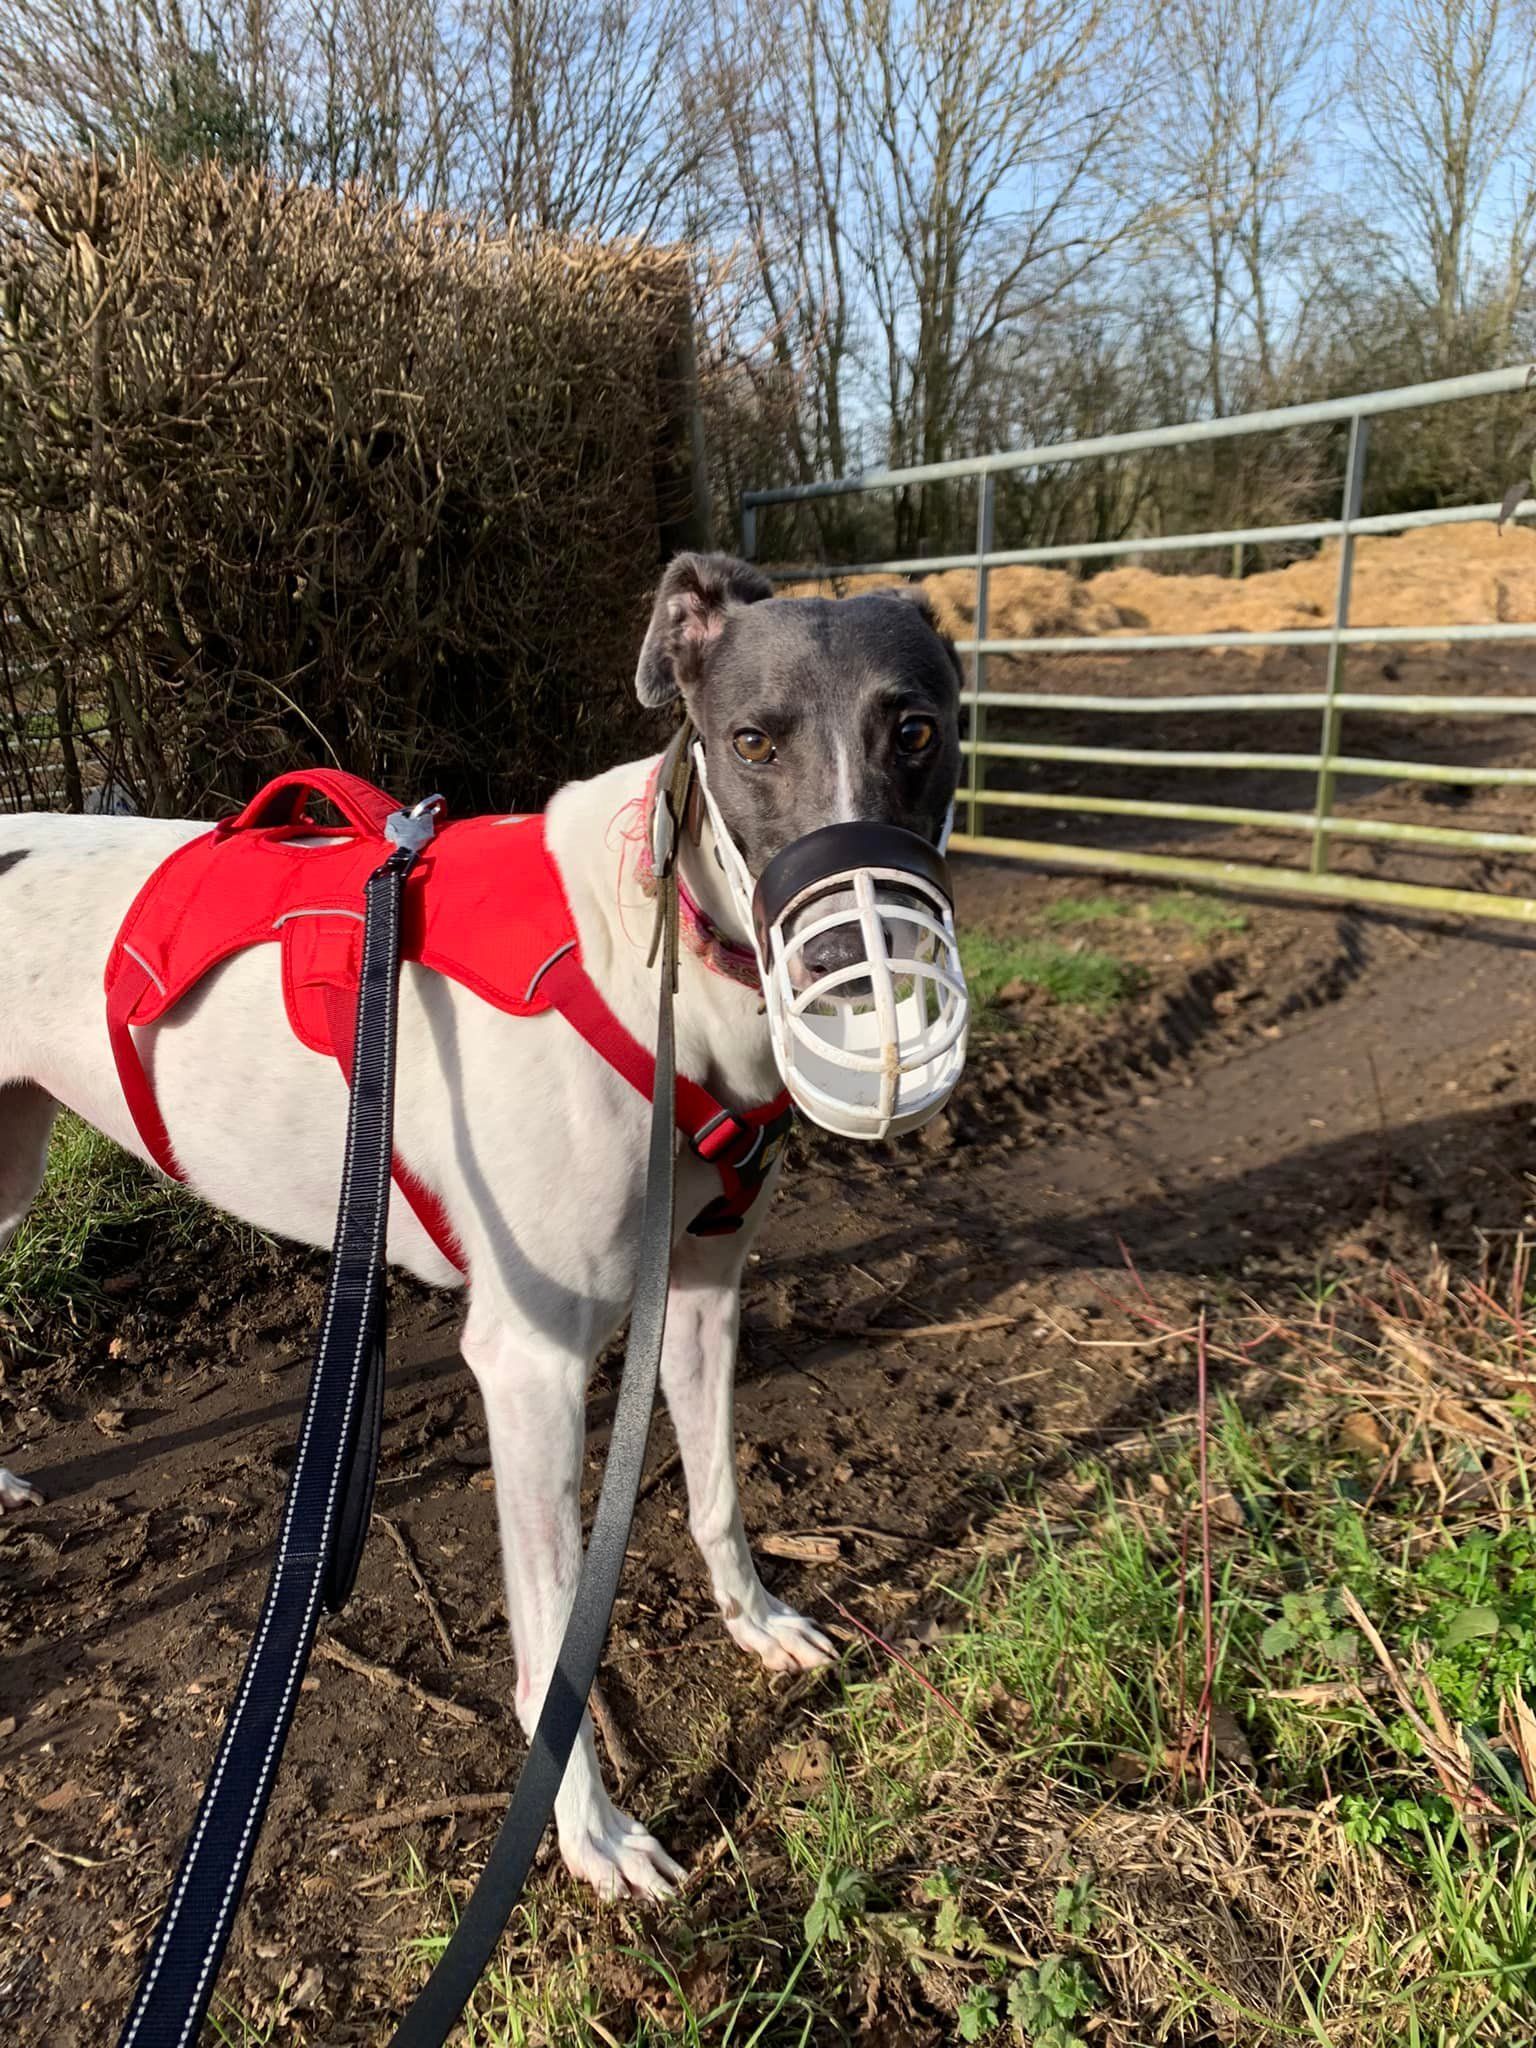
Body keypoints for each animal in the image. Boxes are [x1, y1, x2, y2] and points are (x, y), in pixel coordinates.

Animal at [0, 553, 963, 1896]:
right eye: (752, 741)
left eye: (915, 730)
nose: (856, 974)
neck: (646, 953)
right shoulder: (532, 1367)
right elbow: (556, 1638)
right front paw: (593, 1834)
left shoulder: (703, 1292)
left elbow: (717, 1489)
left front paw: (757, 1619)